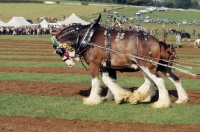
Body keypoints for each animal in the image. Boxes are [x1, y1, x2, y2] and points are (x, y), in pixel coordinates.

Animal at [52, 14, 188, 108]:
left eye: (59, 51)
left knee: (158, 81)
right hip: (158, 67)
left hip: (146, 65)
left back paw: (161, 103)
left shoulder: (95, 64)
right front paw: (118, 96)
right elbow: (109, 80)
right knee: (171, 80)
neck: (88, 38)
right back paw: (179, 99)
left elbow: (96, 82)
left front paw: (92, 100)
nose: (70, 64)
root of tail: (158, 42)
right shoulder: (106, 66)